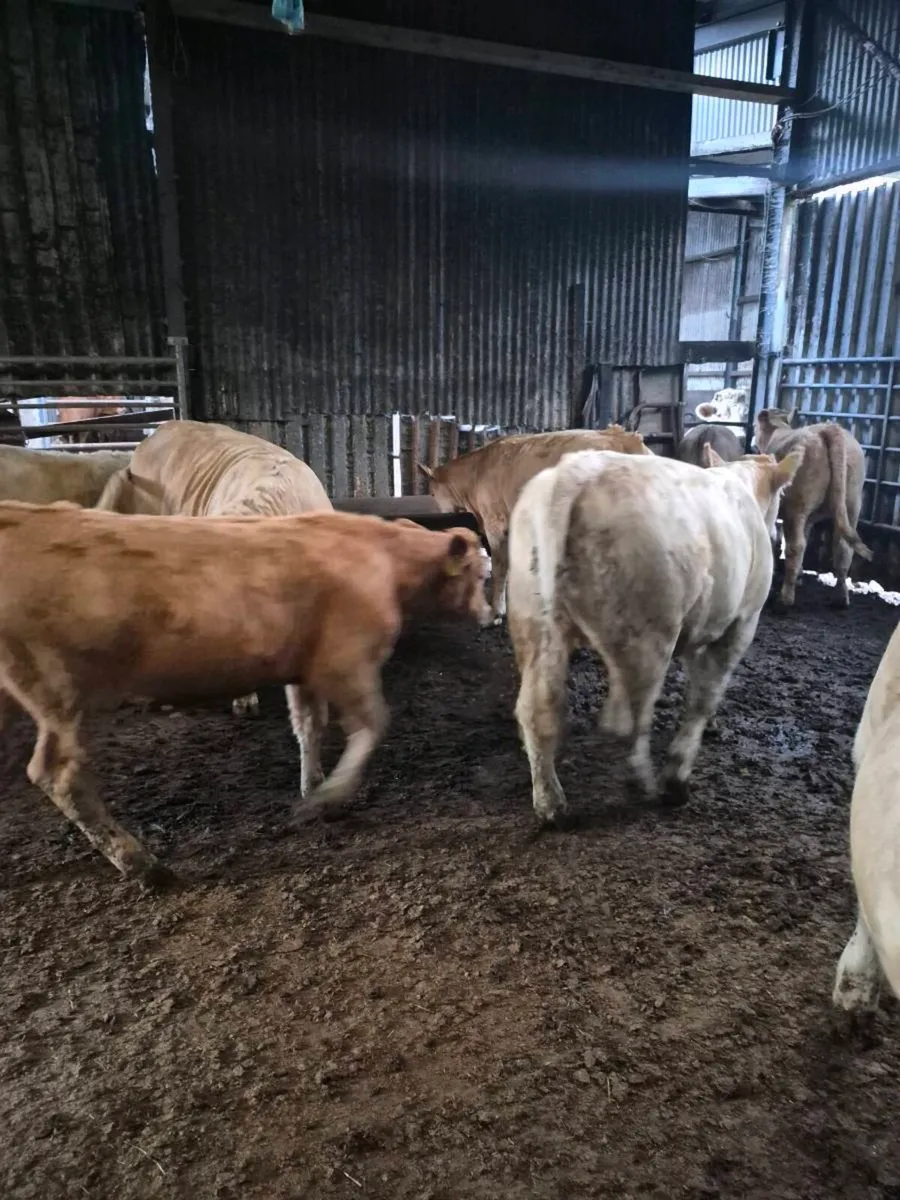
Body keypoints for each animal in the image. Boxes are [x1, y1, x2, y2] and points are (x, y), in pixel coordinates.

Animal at [0, 503, 490, 884]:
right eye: (483, 574)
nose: (495, 615)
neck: (384, 560)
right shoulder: (346, 662)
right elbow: (371, 726)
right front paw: (332, 794)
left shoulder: (305, 669)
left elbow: (309, 727)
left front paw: (313, 786)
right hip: (63, 692)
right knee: (60, 775)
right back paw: (141, 864)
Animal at [506, 445, 802, 824]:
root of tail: (575, 473)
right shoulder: (741, 623)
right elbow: (704, 697)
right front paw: (678, 775)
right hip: (649, 633)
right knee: (629, 719)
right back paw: (646, 784)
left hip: (532, 619)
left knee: (537, 708)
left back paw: (550, 802)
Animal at [753, 408, 872, 609]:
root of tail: (829, 429)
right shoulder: (809, 518)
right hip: (852, 503)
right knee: (843, 548)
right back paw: (841, 598)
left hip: (796, 506)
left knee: (796, 546)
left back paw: (785, 599)